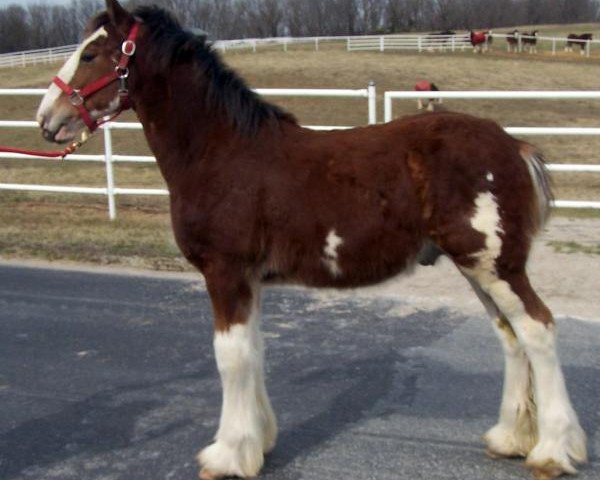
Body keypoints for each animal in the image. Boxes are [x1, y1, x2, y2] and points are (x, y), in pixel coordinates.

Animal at [35, 0, 588, 480]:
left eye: (91, 54)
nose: (47, 119)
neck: (222, 153)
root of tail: (514, 145)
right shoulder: (249, 281)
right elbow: (254, 350)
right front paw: (258, 442)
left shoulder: (225, 272)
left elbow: (230, 357)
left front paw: (227, 454)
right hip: (478, 267)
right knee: (510, 336)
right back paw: (510, 439)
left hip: (494, 263)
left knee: (538, 329)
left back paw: (553, 451)